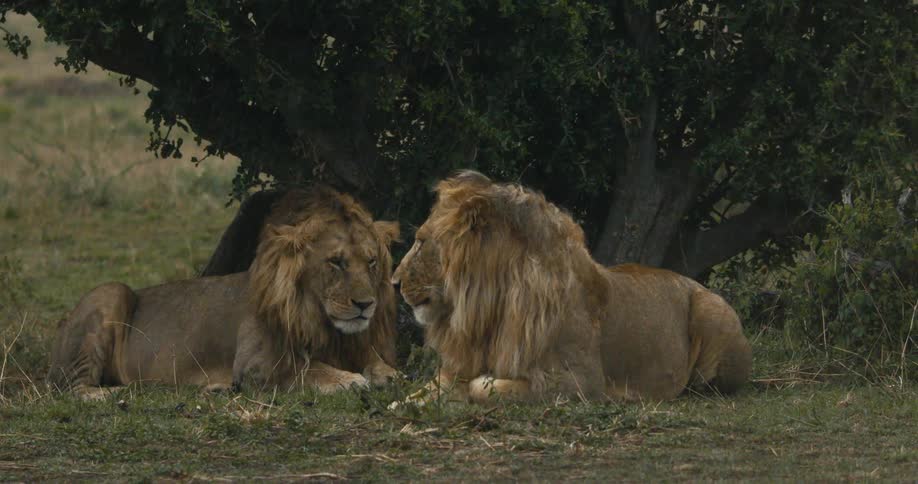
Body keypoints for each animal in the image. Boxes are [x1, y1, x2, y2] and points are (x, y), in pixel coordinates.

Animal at [48, 186, 401, 399]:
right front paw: (347, 380)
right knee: (71, 387)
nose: (365, 305)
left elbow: (374, 360)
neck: (322, 320)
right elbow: (305, 370)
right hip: (111, 292)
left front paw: (391, 374)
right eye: (336, 262)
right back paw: (108, 394)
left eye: (371, 261)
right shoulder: (255, 365)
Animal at [391, 171, 752, 404]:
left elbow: (486, 387)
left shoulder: (583, 381)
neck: (489, 309)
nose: (393, 283)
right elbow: (418, 394)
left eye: (421, 242)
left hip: (712, 312)